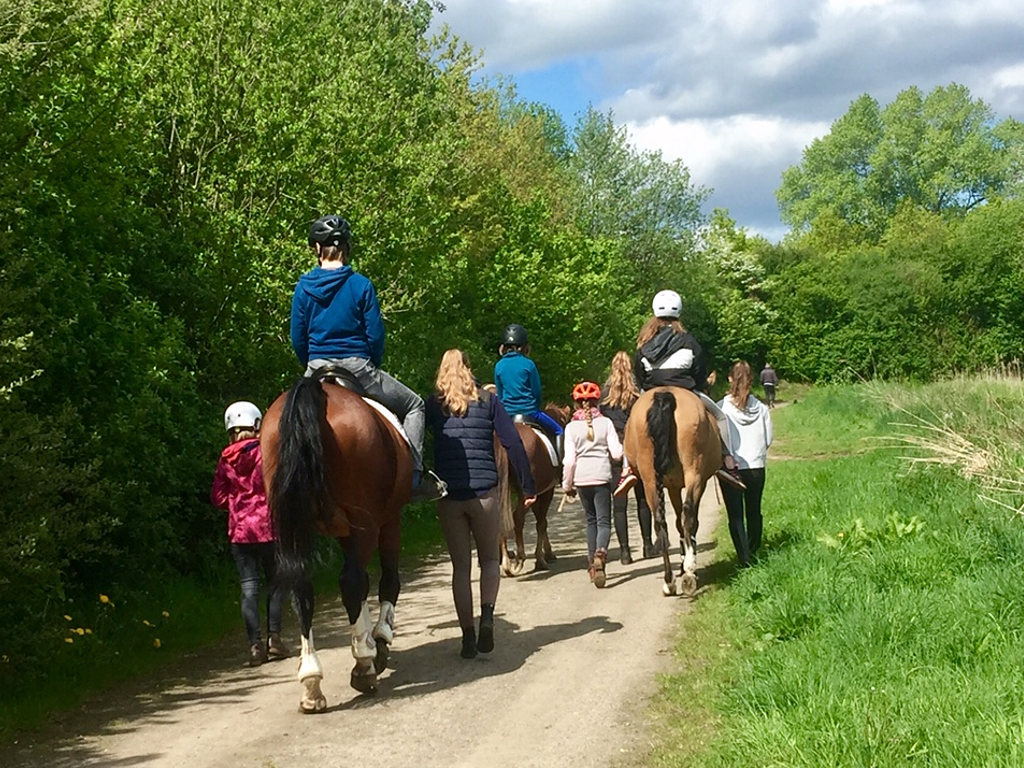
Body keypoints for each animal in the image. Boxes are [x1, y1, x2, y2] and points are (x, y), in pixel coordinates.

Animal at [260, 370, 411, 712]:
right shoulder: (387, 521)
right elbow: (386, 581)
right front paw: (378, 642)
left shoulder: (345, 531)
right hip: (367, 521)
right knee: (352, 582)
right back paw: (363, 669)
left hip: (293, 525)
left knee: (302, 586)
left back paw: (311, 683)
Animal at [495, 403, 569, 577]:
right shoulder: (546, 491)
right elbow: (542, 523)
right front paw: (541, 559)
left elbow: (542, 522)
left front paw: (547, 554)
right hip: (526, 492)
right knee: (517, 518)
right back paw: (518, 559)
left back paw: (506, 563)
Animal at [622, 387, 720, 598]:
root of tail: (664, 394)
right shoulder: (693, 483)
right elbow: (688, 522)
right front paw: (687, 565)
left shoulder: (672, 487)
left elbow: (675, 522)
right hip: (694, 473)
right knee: (688, 515)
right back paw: (689, 573)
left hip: (650, 480)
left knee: (660, 524)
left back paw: (669, 581)